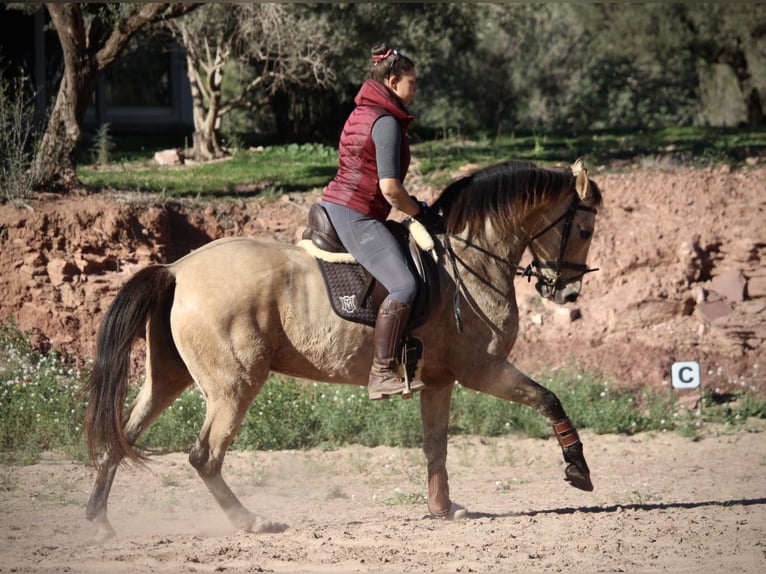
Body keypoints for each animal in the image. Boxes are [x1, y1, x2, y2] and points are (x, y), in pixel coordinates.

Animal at [82, 156, 600, 540]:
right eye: (584, 230)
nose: (568, 293)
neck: (469, 258)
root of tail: (177, 269)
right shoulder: (483, 368)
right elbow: (547, 398)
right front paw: (578, 470)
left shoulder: (441, 380)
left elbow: (435, 444)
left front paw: (442, 507)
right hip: (234, 387)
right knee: (204, 455)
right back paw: (250, 521)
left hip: (169, 378)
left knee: (121, 435)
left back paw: (100, 521)